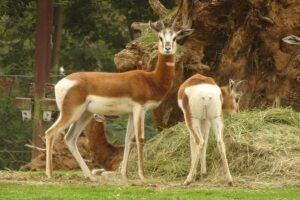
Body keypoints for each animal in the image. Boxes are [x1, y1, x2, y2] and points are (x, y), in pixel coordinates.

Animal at [45, 18, 193, 182]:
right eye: (160, 37)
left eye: (175, 37)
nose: (167, 48)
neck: (151, 80)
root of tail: (60, 83)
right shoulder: (140, 109)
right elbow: (140, 138)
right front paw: (143, 176)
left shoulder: (131, 113)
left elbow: (128, 140)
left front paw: (124, 175)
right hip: (71, 112)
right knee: (50, 133)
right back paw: (50, 174)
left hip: (85, 114)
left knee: (70, 138)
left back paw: (90, 176)